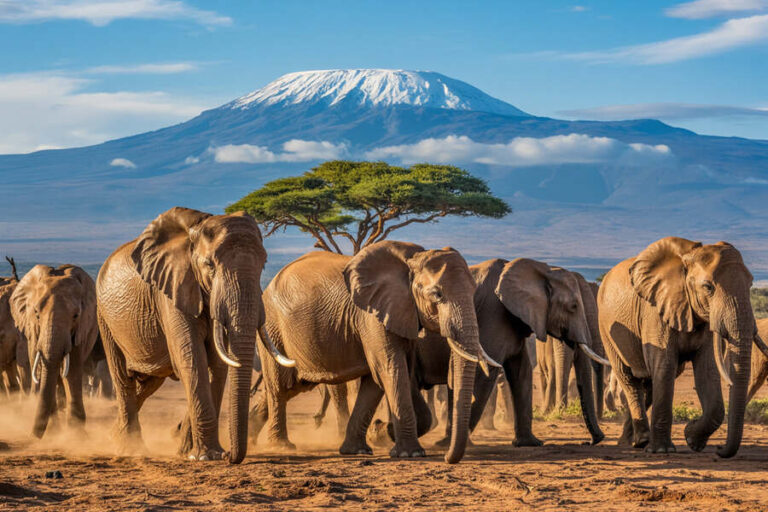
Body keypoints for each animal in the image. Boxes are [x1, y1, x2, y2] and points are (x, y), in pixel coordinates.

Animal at [9, 264, 98, 438]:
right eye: (36, 314)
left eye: (76, 316)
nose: (33, 436)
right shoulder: (32, 329)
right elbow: (41, 365)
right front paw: (54, 432)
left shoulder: (80, 329)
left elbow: (72, 369)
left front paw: (76, 435)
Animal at [96, 207, 291, 463]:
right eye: (210, 265)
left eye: (264, 264)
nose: (229, 455)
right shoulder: (171, 291)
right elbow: (192, 359)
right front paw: (207, 456)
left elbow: (217, 364)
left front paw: (191, 452)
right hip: (105, 318)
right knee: (123, 378)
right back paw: (130, 448)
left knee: (149, 382)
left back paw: (114, 436)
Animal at [249, 241, 499, 463]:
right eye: (437, 294)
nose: (447, 458)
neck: (413, 259)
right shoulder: (371, 316)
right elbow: (390, 369)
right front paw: (408, 452)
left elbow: (379, 379)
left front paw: (364, 445)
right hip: (272, 327)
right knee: (280, 387)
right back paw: (280, 446)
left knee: (292, 386)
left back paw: (252, 434)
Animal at [414, 258, 610, 448]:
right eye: (573, 306)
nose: (592, 440)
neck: (542, 269)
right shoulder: (492, 316)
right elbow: (483, 374)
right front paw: (447, 443)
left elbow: (522, 372)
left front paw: (529, 443)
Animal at [598, 237, 768, 457]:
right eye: (708, 287)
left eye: (751, 284)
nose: (720, 449)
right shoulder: (655, 313)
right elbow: (664, 367)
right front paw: (662, 450)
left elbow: (707, 371)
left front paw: (692, 438)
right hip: (606, 328)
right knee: (629, 378)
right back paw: (642, 440)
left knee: (648, 384)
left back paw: (632, 441)